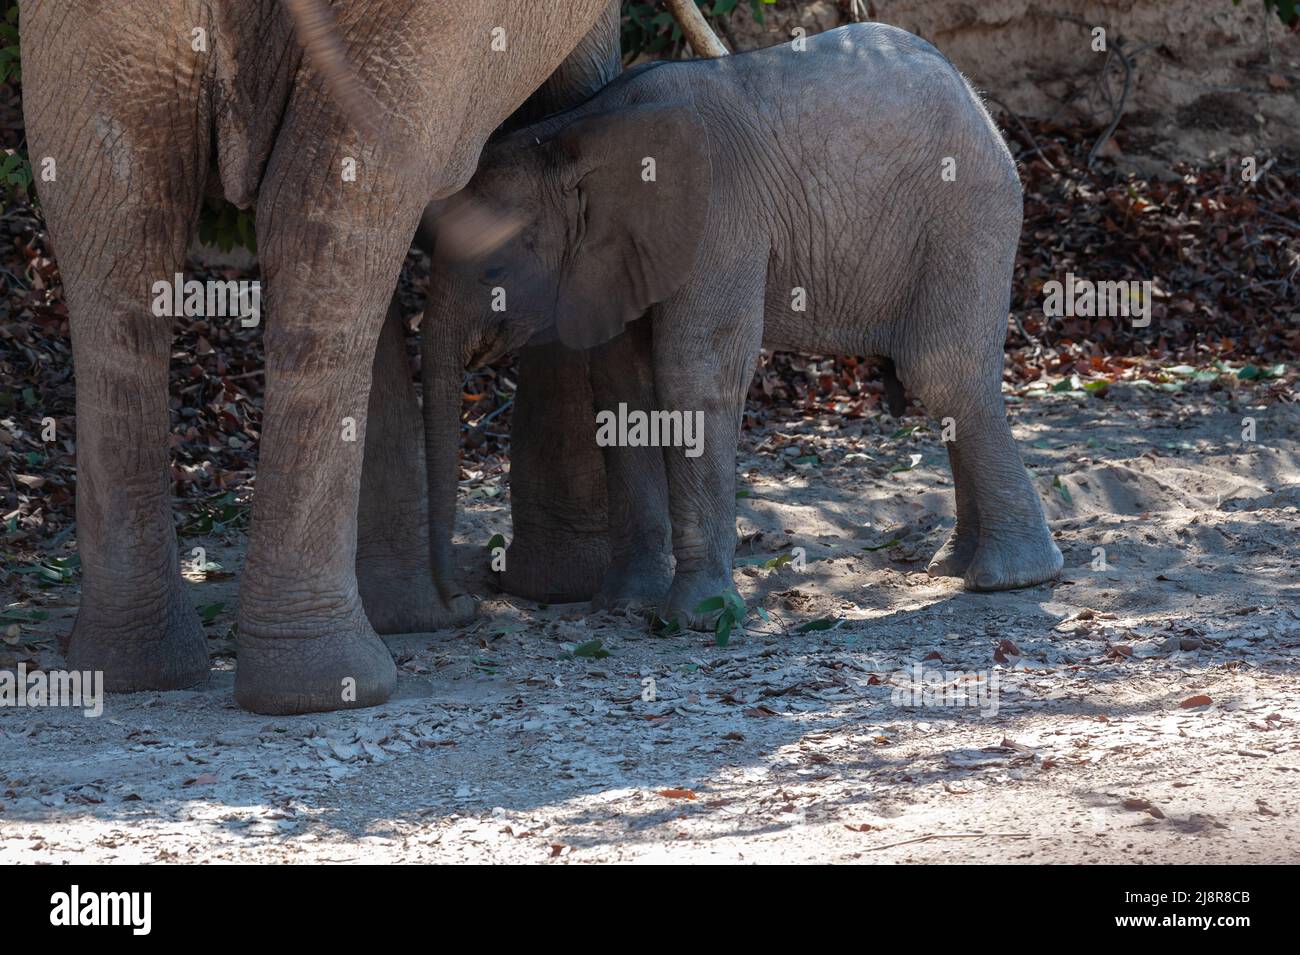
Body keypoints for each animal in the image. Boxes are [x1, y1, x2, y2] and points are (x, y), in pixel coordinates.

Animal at [19, 0, 629, 717]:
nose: (463, 601)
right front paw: (564, 586)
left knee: (130, 221)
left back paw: (144, 671)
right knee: (324, 204)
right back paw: (326, 684)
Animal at [431, 22, 1060, 628]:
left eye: (493, 268)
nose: (461, 607)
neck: (578, 131)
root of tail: (978, 102)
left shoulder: (721, 218)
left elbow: (694, 372)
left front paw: (697, 622)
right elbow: (620, 387)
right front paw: (624, 608)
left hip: (968, 212)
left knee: (941, 372)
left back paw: (1008, 577)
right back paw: (955, 566)